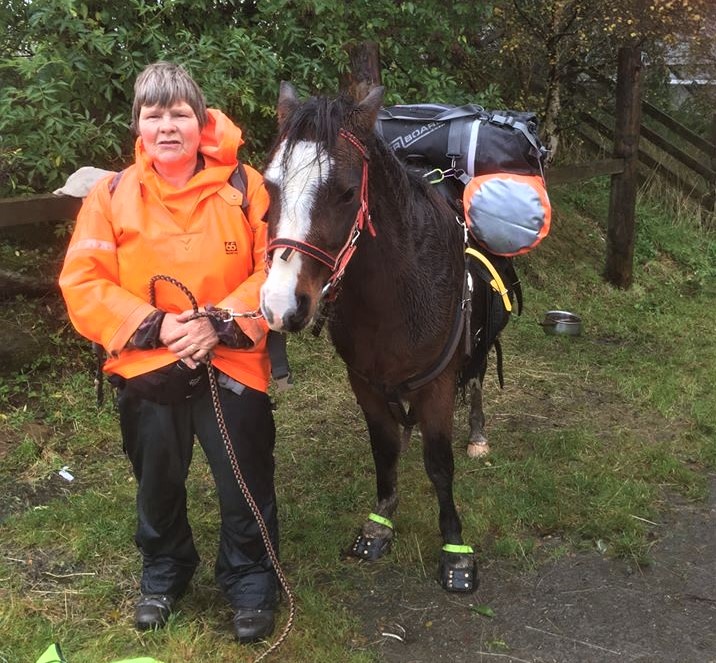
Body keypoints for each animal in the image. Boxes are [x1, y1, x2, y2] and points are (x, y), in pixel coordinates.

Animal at [260, 81, 516, 592]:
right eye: (268, 186)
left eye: (344, 193)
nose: (281, 305)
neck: (397, 293)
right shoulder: (365, 384)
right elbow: (385, 450)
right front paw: (379, 526)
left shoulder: (438, 384)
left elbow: (439, 464)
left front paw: (455, 551)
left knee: (478, 375)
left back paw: (477, 434)